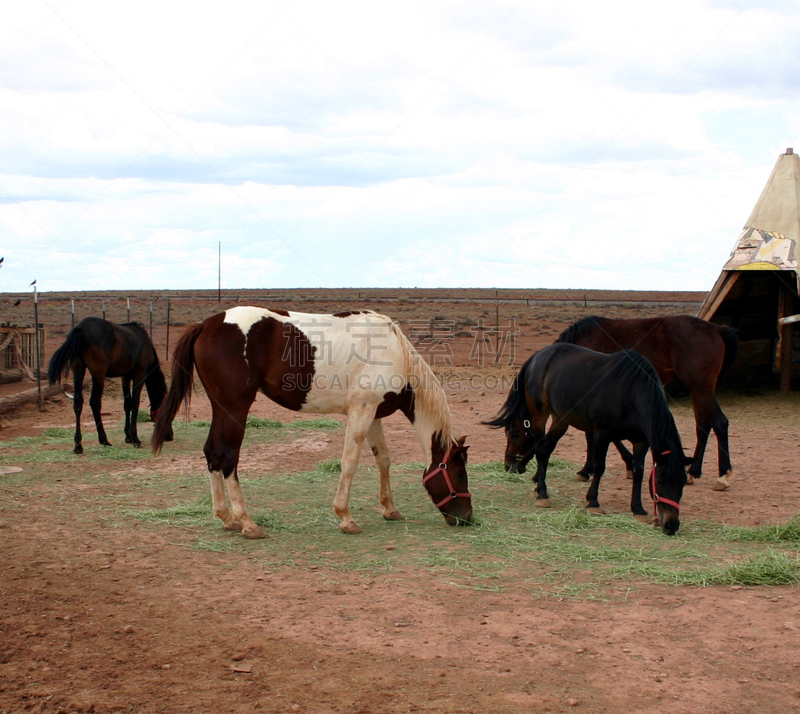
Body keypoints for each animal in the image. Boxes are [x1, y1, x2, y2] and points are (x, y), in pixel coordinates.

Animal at [48, 316, 172, 450]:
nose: (170, 436)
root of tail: (81, 328)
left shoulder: (125, 377)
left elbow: (127, 404)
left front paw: (128, 436)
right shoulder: (140, 373)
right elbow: (135, 402)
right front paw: (135, 438)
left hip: (78, 370)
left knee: (78, 402)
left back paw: (78, 444)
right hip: (98, 374)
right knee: (95, 402)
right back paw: (103, 439)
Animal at [153, 304, 472, 536]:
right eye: (459, 474)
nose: (467, 518)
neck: (394, 352)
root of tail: (207, 325)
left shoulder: (373, 415)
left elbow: (383, 459)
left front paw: (389, 509)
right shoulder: (361, 412)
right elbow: (350, 462)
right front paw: (345, 517)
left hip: (221, 408)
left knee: (212, 453)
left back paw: (226, 517)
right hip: (235, 408)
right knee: (229, 456)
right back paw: (247, 523)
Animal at [484, 342, 692, 532]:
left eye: (683, 482)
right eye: (660, 481)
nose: (671, 525)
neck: (630, 393)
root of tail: (539, 355)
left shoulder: (641, 441)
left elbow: (639, 472)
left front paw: (638, 509)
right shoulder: (602, 434)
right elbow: (599, 467)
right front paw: (593, 501)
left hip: (561, 417)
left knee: (548, 447)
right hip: (539, 415)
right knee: (542, 448)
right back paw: (543, 493)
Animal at [556, 316, 736, 490]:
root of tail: (716, 328)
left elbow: (591, 434)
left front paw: (586, 470)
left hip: (701, 389)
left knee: (720, 423)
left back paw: (723, 476)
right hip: (698, 392)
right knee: (703, 427)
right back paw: (693, 472)